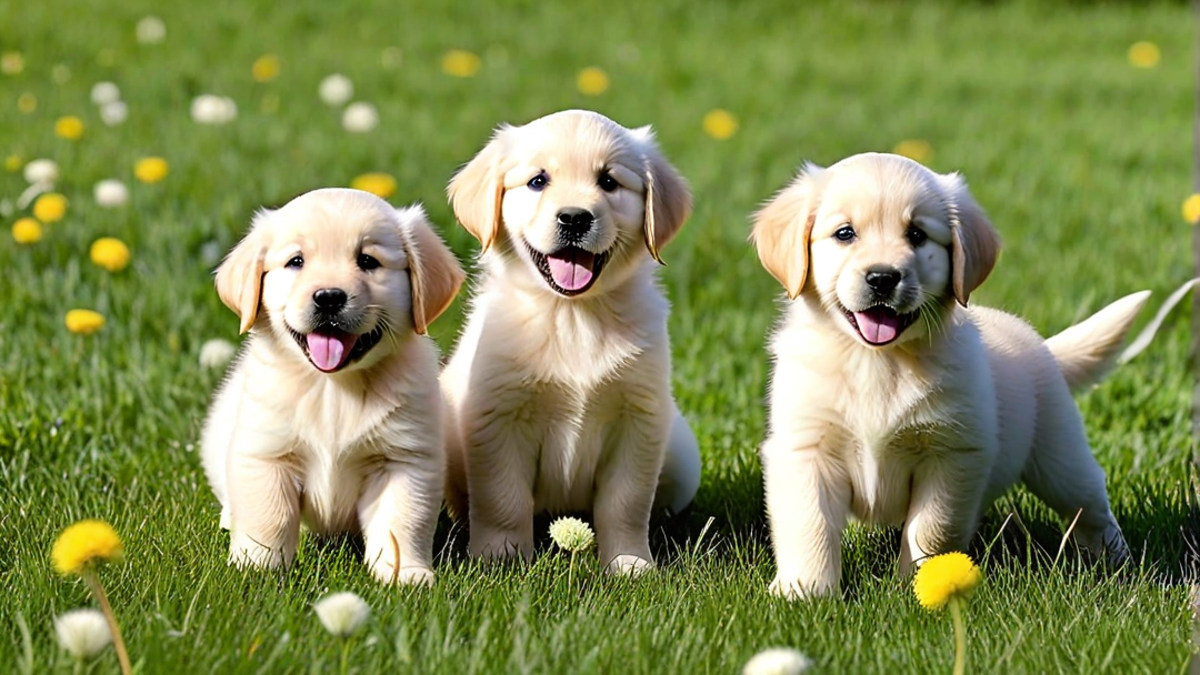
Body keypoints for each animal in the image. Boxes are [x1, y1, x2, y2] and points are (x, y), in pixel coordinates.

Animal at [199, 184, 460, 583]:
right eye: (296, 262)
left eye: (368, 261)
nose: (329, 297)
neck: (332, 389)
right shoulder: (266, 454)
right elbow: (269, 517)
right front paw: (258, 569)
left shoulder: (403, 460)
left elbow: (401, 521)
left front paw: (404, 575)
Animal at [441, 110, 700, 571]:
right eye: (538, 181)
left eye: (609, 181)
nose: (575, 218)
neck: (572, 315)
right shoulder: (498, 419)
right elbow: (503, 499)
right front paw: (502, 558)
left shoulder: (638, 420)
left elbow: (625, 501)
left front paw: (630, 564)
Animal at [753, 153, 1147, 598]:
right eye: (844, 233)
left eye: (917, 235)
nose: (882, 277)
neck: (877, 361)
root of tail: (1041, 344)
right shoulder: (805, 448)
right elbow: (810, 525)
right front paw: (805, 591)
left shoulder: (951, 455)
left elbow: (930, 530)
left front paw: (924, 586)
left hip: (1059, 455)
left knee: (1090, 502)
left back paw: (1116, 559)